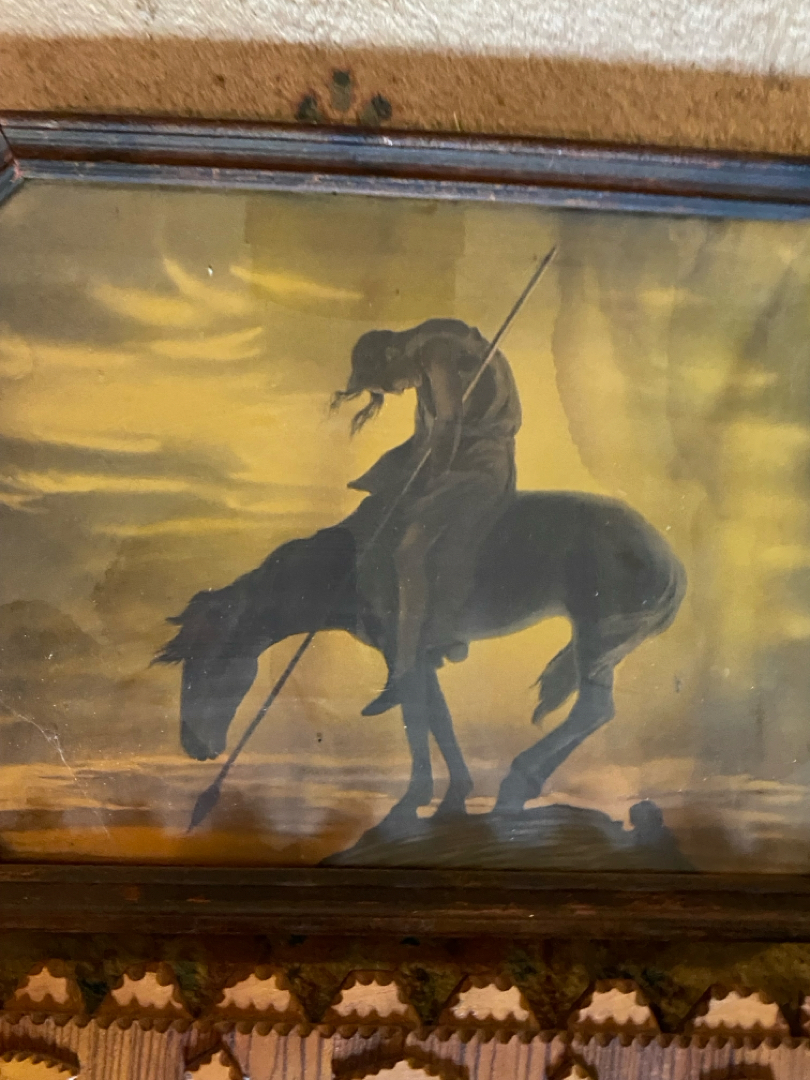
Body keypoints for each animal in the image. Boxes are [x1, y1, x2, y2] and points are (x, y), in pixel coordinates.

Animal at [155, 490, 686, 817]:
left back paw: (517, 784)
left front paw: (415, 797)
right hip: (599, 647)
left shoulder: (403, 654)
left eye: (212, 662)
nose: (194, 746)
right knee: (594, 711)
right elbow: (437, 716)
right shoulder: (420, 656)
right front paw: (453, 795)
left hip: (596, 638)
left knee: (593, 710)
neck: (346, 566)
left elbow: (415, 715)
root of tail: (669, 557)